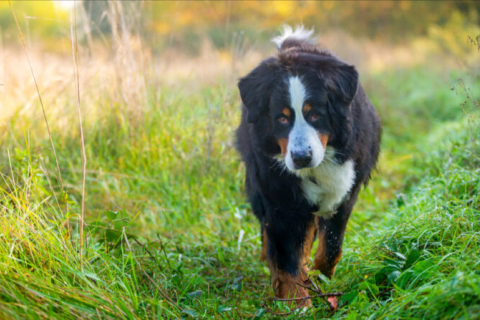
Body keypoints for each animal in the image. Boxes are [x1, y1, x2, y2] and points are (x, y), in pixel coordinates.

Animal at [234, 25, 380, 304]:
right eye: (281, 118)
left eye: (315, 114)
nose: (301, 157)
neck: (317, 167)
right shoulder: (279, 197)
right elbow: (285, 256)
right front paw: (296, 301)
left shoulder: (345, 192)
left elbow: (331, 246)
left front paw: (320, 280)